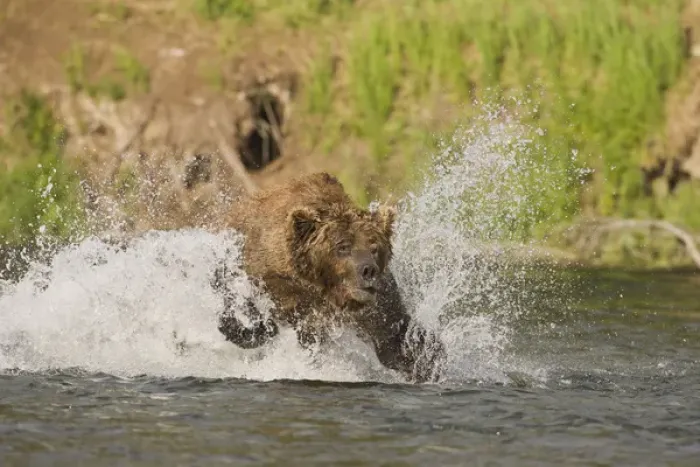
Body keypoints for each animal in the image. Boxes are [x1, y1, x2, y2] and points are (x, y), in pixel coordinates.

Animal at [212, 172, 445, 383]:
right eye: (343, 247)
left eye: (375, 247)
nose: (368, 270)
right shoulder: (274, 281)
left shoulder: (376, 303)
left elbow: (396, 340)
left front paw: (428, 360)